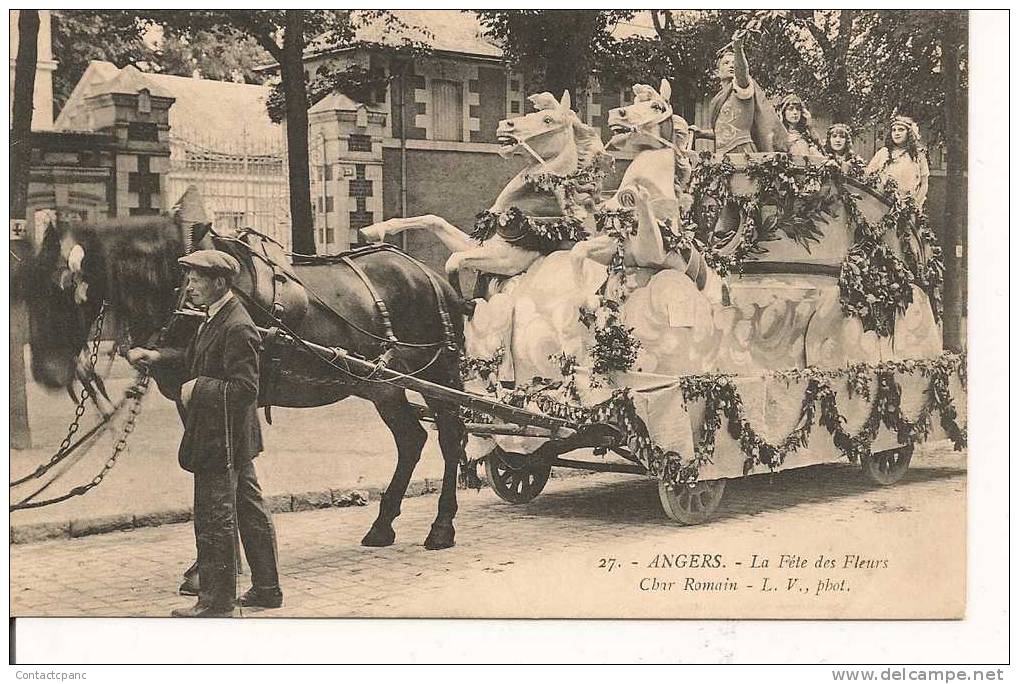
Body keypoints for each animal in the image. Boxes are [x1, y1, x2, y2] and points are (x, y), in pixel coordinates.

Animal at [23, 209, 468, 550]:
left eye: (64, 285)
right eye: (25, 289)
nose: (47, 373)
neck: (184, 291)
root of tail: (429, 274)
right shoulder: (190, 396)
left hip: (440, 372)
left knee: (450, 437)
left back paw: (442, 526)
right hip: (382, 384)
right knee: (412, 439)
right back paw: (382, 524)